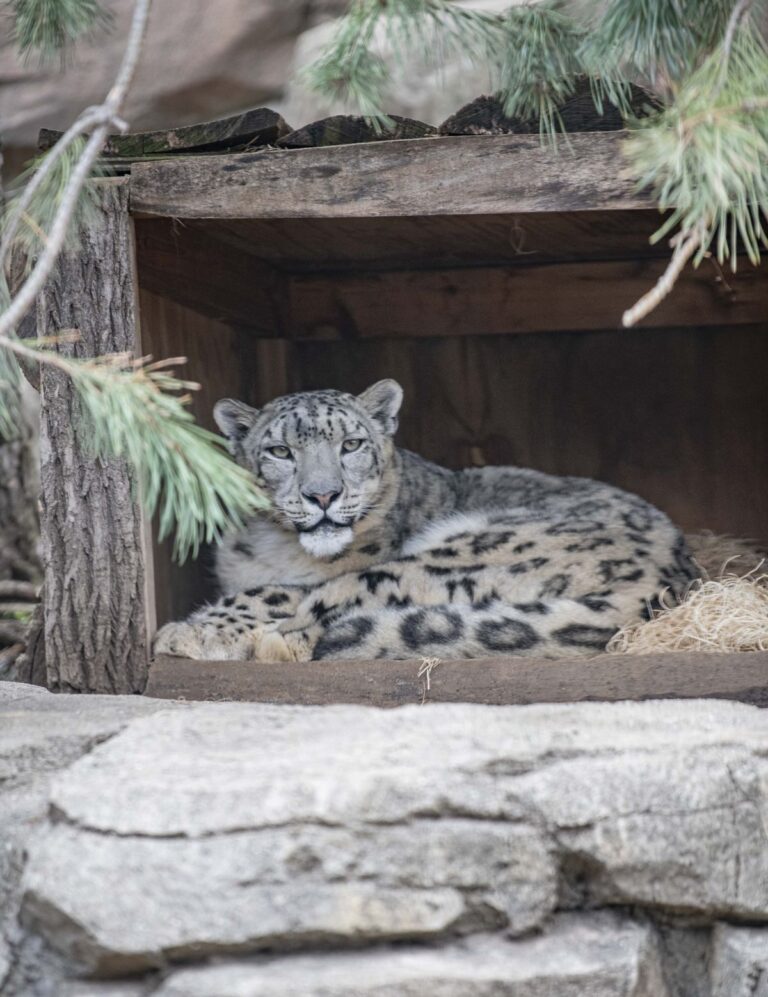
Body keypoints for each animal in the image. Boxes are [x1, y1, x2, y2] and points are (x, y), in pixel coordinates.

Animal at [153, 379, 699, 663]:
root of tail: (676, 580)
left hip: (462, 551)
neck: (274, 546)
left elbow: (275, 591)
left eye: (351, 444)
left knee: (338, 598)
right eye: (280, 451)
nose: (323, 494)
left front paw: (194, 632)